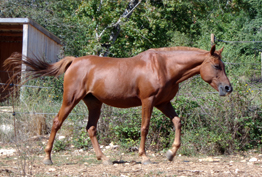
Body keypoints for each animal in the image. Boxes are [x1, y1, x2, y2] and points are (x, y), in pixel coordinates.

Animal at [4, 45, 231, 165]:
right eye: (216, 65)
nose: (228, 88)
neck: (164, 66)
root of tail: (74, 61)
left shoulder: (163, 102)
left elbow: (177, 121)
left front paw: (171, 153)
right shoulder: (148, 101)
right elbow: (145, 128)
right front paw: (144, 157)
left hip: (94, 104)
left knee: (91, 128)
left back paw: (103, 158)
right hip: (70, 99)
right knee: (56, 122)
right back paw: (48, 157)